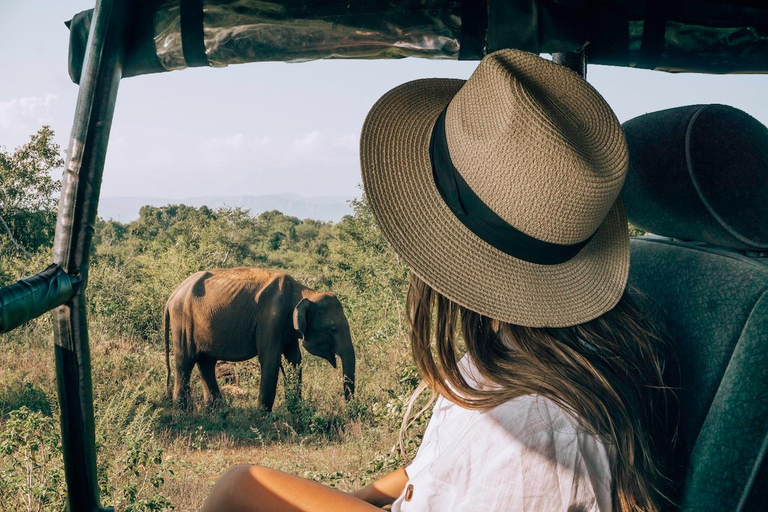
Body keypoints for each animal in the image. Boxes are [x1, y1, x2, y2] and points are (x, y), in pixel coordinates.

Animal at [165, 268, 356, 412]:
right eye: (332, 329)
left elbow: (294, 360)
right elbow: (270, 358)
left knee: (206, 362)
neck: (303, 291)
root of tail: (172, 295)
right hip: (182, 320)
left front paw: (295, 409)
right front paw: (263, 416)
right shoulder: (271, 319)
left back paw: (216, 409)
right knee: (185, 361)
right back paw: (183, 411)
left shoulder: (286, 327)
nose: (348, 410)